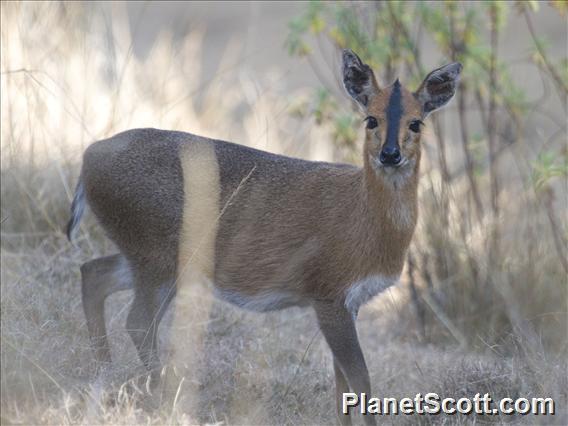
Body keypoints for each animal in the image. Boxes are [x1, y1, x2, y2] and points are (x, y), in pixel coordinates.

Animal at [67, 50, 462, 426]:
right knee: (137, 320)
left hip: (146, 254)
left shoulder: (351, 301)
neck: (367, 226)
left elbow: (343, 385)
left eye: (416, 122)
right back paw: (161, 398)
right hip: (158, 254)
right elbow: (360, 379)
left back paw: (105, 372)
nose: (389, 154)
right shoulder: (328, 292)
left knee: (95, 273)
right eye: (371, 119)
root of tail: (89, 157)